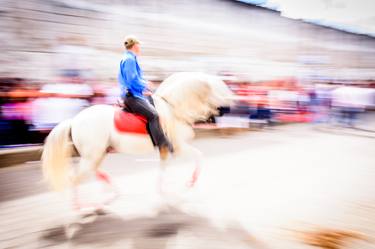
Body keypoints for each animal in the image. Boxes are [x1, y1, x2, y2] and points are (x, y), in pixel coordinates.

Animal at [42, 72, 234, 210]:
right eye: (215, 90)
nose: (226, 109)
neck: (174, 109)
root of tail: (74, 121)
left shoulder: (165, 150)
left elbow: (163, 171)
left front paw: (164, 192)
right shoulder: (177, 147)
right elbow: (199, 156)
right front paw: (190, 182)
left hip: (97, 154)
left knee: (93, 172)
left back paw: (110, 193)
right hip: (92, 155)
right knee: (75, 178)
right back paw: (79, 207)